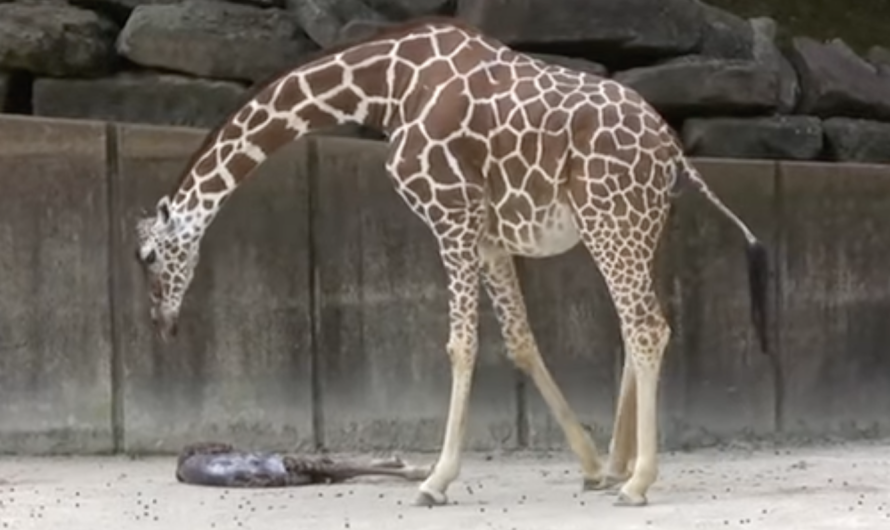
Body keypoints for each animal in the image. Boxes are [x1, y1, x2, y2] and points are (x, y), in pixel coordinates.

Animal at [130, 15, 764, 504]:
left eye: (146, 256)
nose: (162, 324)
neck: (385, 86)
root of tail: (674, 150)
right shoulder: (486, 233)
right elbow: (520, 340)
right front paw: (587, 466)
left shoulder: (449, 212)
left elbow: (461, 344)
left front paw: (435, 481)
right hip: (635, 225)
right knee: (636, 327)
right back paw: (617, 466)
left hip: (612, 220)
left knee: (647, 327)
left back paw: (637, 483)